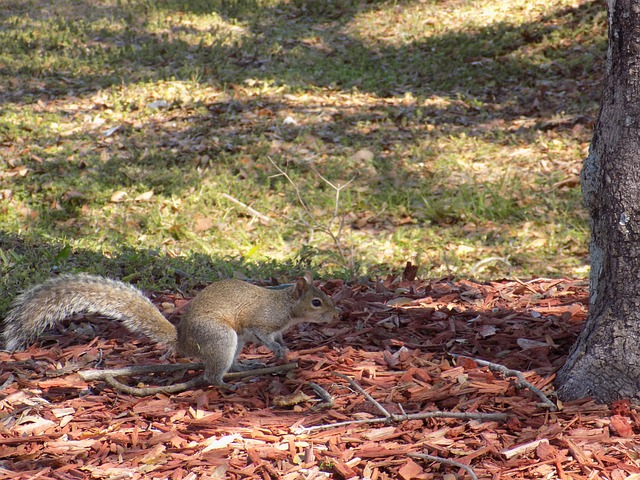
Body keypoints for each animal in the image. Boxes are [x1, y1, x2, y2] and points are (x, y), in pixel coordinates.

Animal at [2, 274, 340, 386]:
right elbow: (266, 336)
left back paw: (242, 367)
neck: (286, 305)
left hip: (232, 342)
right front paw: (278, 351)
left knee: (227, 363)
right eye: (316, 302)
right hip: (222, 337)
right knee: (211, 375)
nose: (337, 314)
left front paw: (284, 350)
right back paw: (226, 383)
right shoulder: (260, 323)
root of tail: (183, 342)